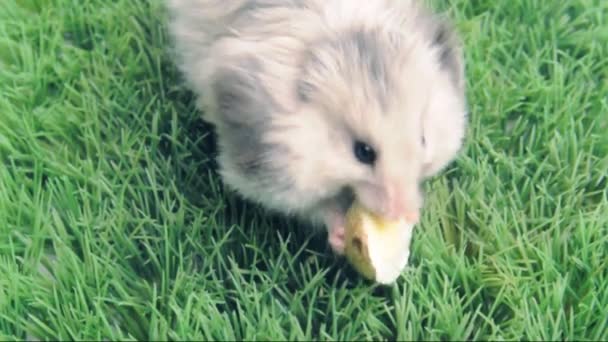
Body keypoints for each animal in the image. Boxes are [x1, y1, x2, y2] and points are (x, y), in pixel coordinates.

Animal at [165, 0, 466, 254]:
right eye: (363, 152)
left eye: (423, 139)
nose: (403, 214)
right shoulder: (268, 178)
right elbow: (316, 208)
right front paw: (341, 238)